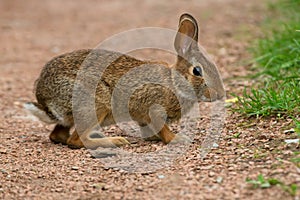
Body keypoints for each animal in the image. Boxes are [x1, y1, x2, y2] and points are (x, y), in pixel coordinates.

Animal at [24, 13, 225, 149]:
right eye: (197, 71)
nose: (220, 94)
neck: (175, 82)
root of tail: (44, 97)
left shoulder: (143, 118)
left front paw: (153, 138)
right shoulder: (154, 108)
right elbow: (164, 129)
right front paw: (178, 139)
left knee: (58, 135)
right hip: (95, 104)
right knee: (75, 140)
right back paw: (114, 141)